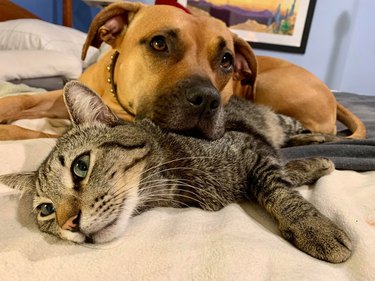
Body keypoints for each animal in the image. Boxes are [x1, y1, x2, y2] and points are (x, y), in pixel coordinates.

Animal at [0, 0, 366, 139]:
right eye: (159, 43)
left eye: (226, 59)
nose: (208, 100)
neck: (113, 92)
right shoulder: (58, 95)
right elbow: (23, 100)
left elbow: (32, 132)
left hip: (269, 86)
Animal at [0, 80, 352, 262]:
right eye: (46, 210)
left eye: (80, 166)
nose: (68, 223)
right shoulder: (258, 156)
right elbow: (278, 176)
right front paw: (311, 166)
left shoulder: (253, 148)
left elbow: (278, 189)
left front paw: (314, 227)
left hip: (279, 121)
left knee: (304, 130)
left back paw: (323, 137)